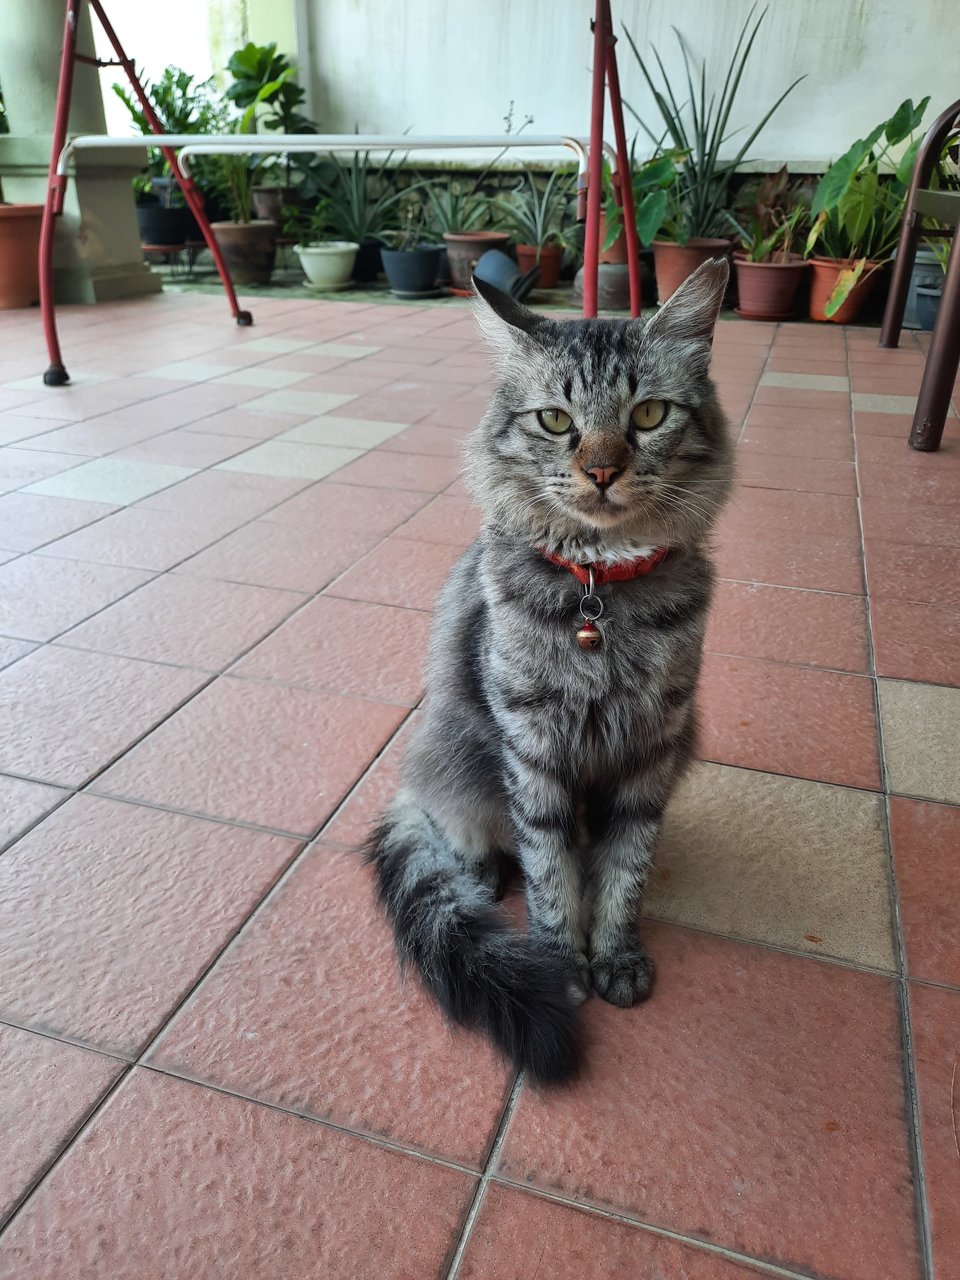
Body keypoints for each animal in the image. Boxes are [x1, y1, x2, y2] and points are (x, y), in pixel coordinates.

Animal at [368, 259, 737, 1080]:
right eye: (556, 421)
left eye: (649, 415)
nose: (600, 470)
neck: (601, 589)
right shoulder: (533, 749)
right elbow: (548, 872)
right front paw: (561, 965)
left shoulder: (652, 748)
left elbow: (625, 870)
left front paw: (617, 957)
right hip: (451, 754)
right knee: (456, 833)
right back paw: (478, 876)